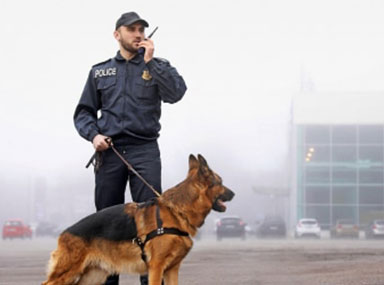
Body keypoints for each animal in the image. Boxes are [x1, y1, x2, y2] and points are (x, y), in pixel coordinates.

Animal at [41, 154, 234, 282]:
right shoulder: (156, 267)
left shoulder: (172, 270)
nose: (234, 193)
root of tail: (63, 233)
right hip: (67, 273)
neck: (176, 211)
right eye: (221, 182)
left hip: (93, 277)